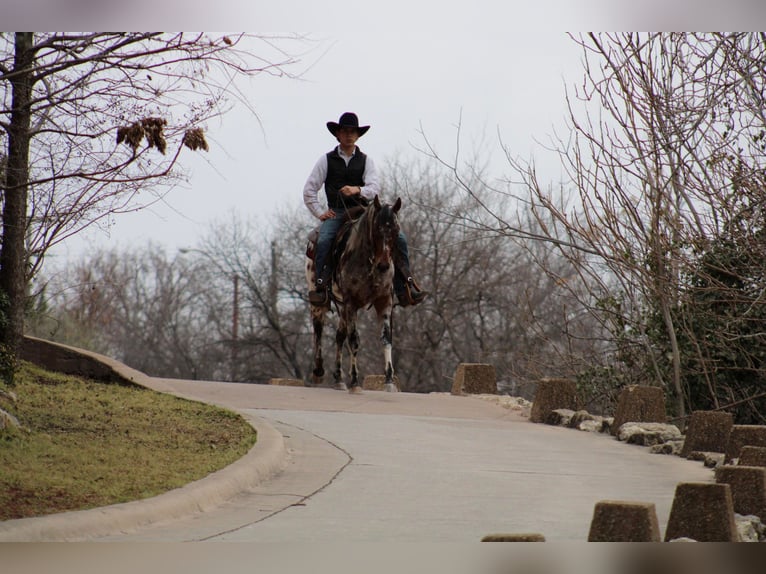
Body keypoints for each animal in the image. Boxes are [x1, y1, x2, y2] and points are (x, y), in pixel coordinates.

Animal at [306, 196, 402, 394]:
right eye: (377, 229)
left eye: (396, 230)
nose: (383, 265)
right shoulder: (352, 302)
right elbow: (354, 340)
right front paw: (355, 382)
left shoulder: (384, 301)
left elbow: (386, 338)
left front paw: (389, 381)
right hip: (320, 302)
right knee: (318, 330)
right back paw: (318, 372)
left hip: (342, 308)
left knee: (339, 336)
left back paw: (338, 378)